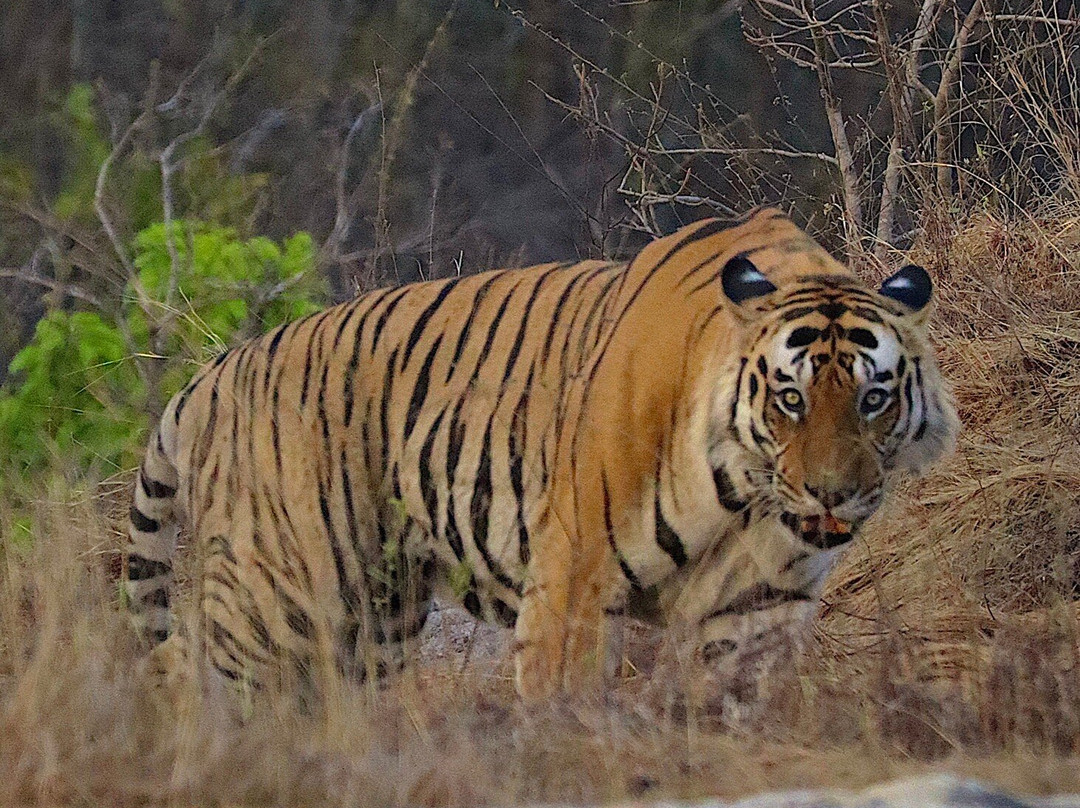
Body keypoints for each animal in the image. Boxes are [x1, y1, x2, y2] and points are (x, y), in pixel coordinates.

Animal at [124, 208, 958, 700]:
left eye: (873, 399)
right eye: (790, 399)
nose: (832, 494)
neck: (743, 494)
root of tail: (218, 371)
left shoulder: (760, 606)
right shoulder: (573, 576)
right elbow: (562, 707)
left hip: (377, 614)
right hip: (283, 589)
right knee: (181, 667)